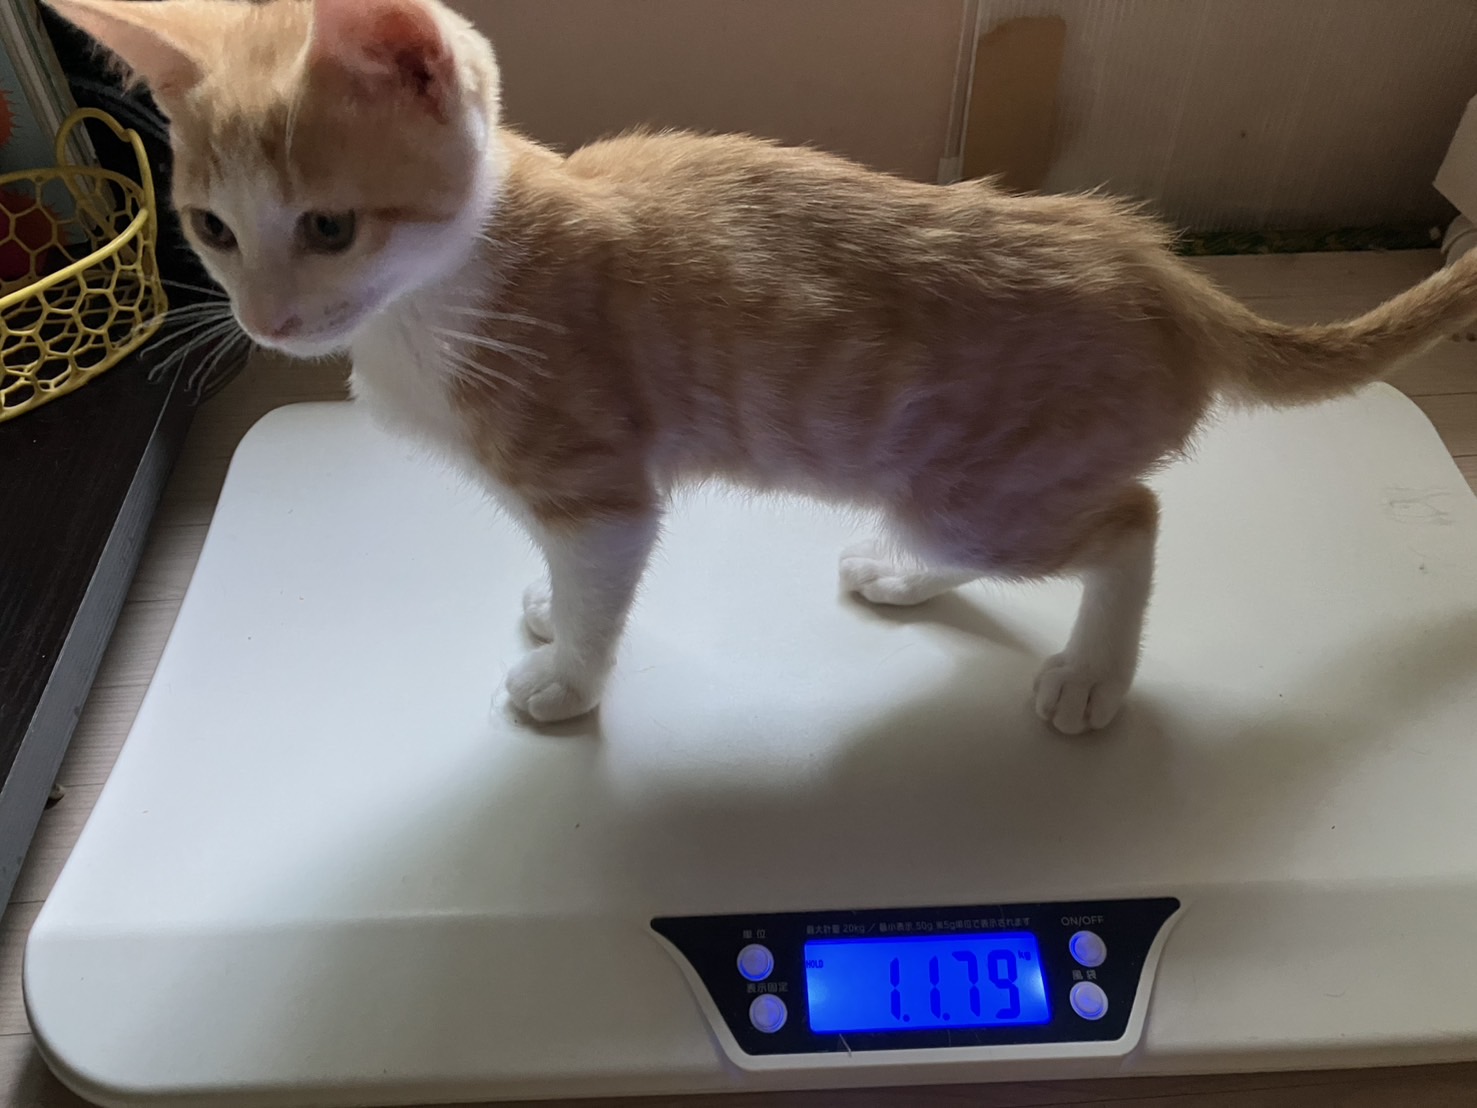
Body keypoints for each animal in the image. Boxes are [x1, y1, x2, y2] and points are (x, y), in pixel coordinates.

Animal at [51, 0, 1477, 735]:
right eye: (209, 229)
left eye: (330, 227)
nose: (267, 322)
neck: (436, 297)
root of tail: (1159, 268)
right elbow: (563, 574)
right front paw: (547, 605)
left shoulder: (601, 485)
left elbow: (602, 583)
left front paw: (568, 679)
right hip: (954, 486)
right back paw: (903, 572)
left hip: (993, 484)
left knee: (1132, 519)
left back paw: (1090, 674)